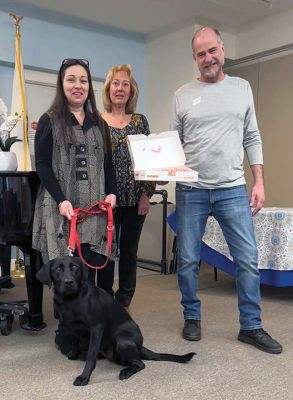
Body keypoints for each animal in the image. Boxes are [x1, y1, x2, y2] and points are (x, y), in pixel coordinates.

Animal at [37, 258, 196, 386]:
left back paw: (126, 371)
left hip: (122, 340)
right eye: (58, 269)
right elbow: (75, 341)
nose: (69, 282)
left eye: (75, 267)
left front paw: (84, 377)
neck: (70, 300)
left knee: (140, 363)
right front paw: (73, 354)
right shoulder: (71, 325)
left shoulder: (97, 327)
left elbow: (91, 358)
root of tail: (140, 347)